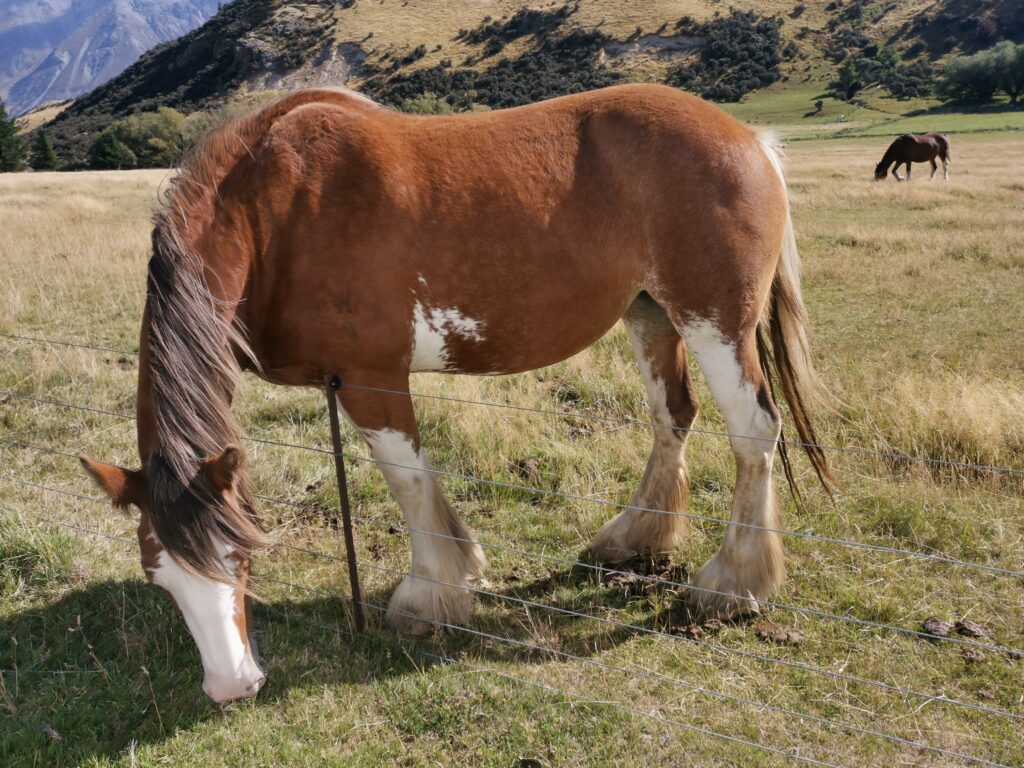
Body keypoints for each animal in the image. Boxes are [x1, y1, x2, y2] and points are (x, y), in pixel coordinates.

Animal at [79, 83, 831, 704]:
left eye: (240, 559)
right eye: (159, 576)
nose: (232, 686)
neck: (276, 215)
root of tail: (749, 140)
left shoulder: (370, 378)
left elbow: (407, 479)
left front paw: (429, 595)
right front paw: (458, 570)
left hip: (713, 322)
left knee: (753, 432)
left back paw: (733, 584)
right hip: (651, 314)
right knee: (672, 416)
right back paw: (631, 539)